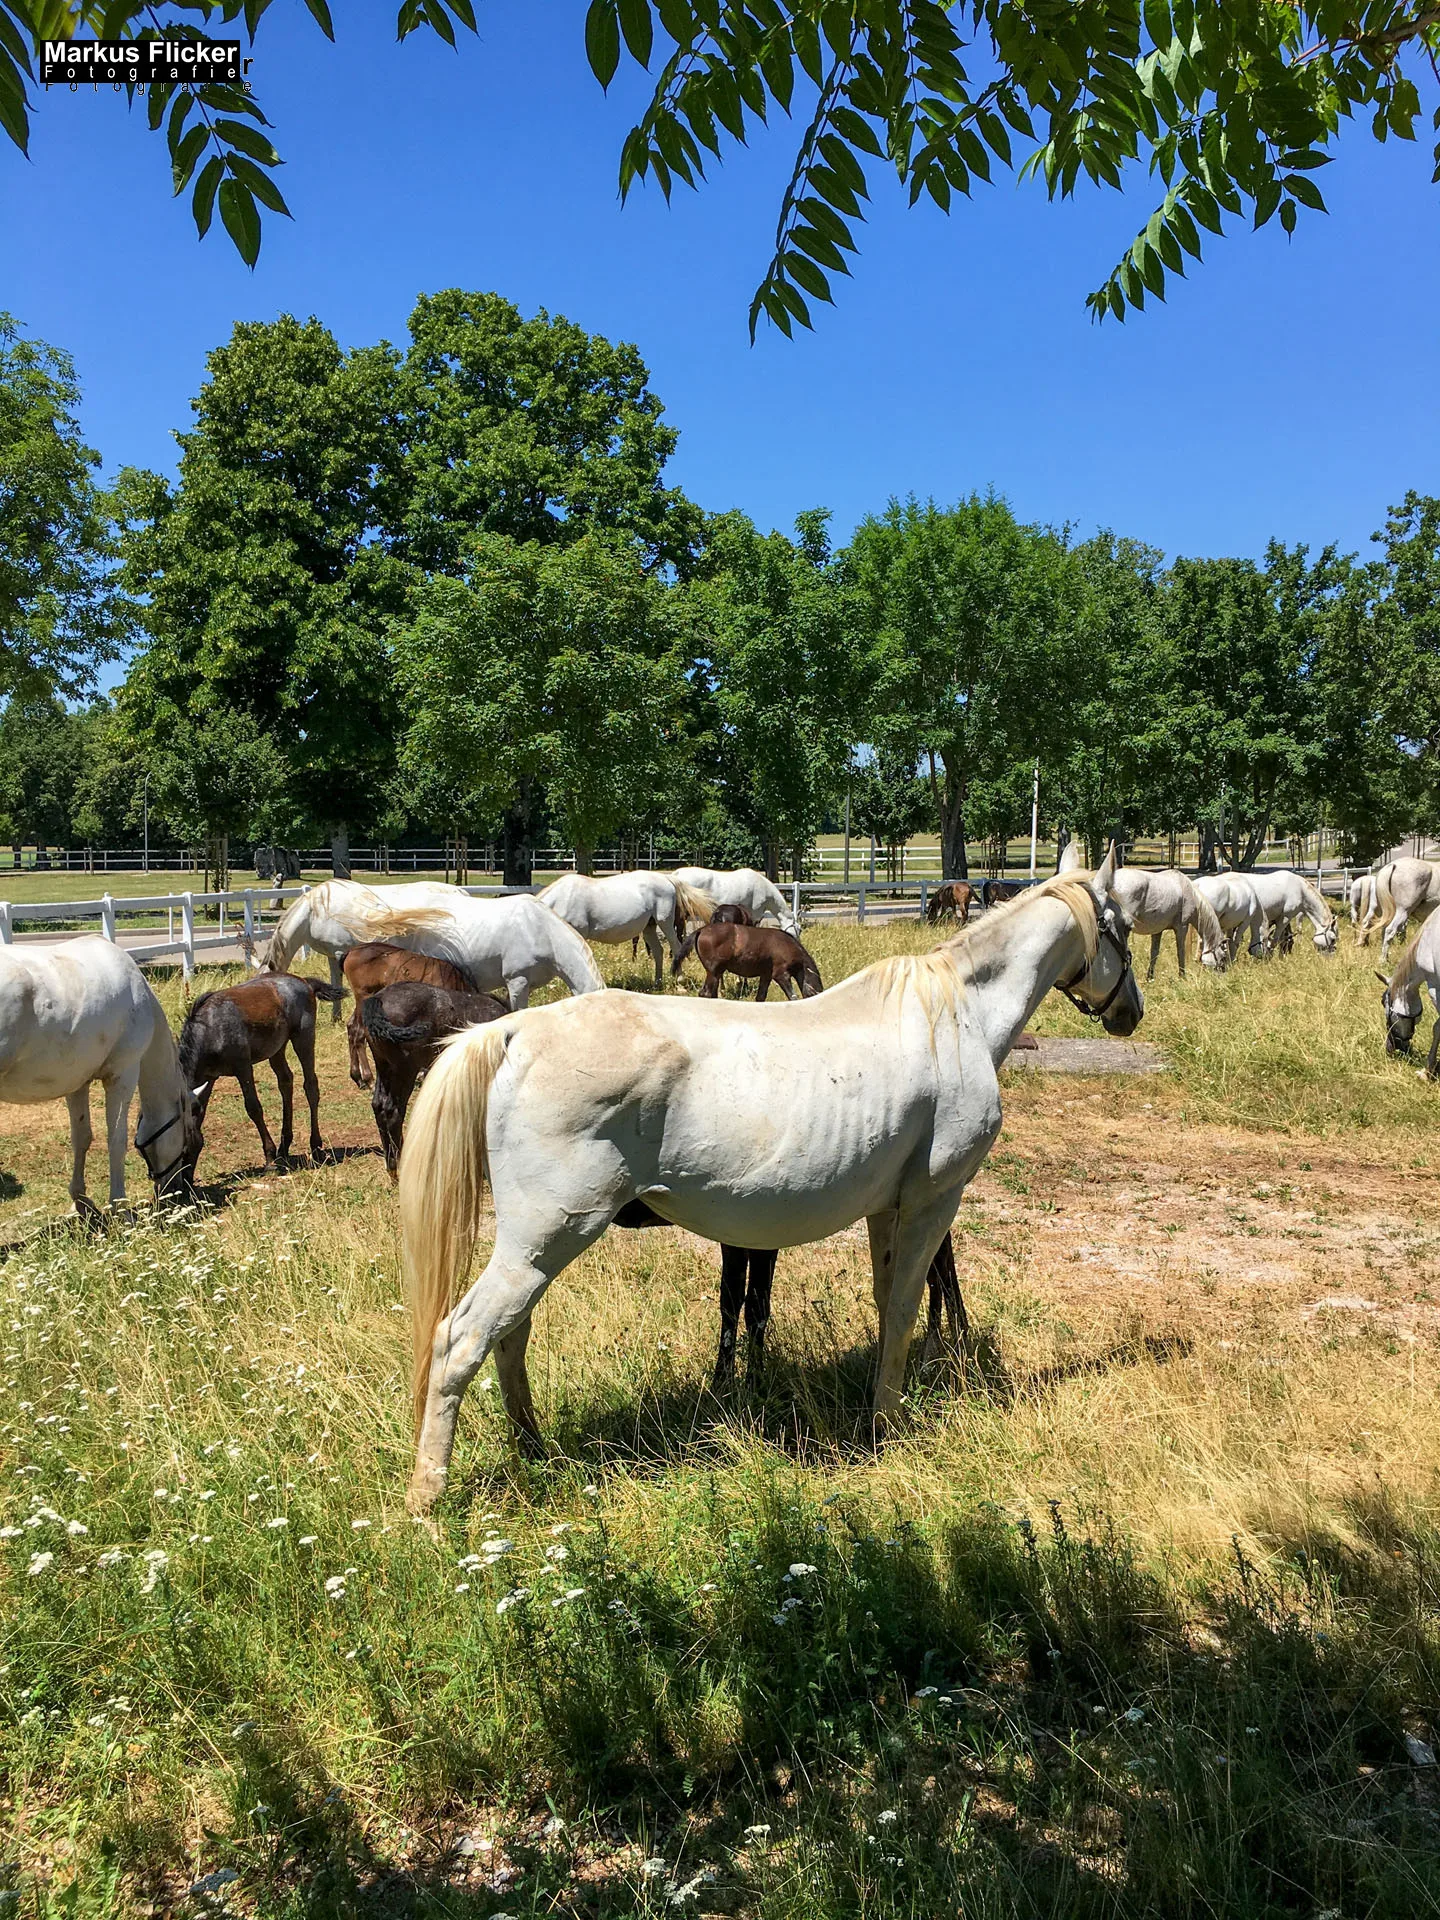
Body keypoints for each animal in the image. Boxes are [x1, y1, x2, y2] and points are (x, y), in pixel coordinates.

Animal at [0, 939, 201, 1214]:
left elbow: (81, 1138)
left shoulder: (78, 1083)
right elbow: (116, 1142)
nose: (176, 1191)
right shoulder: (122, 1076)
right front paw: (121, 1209)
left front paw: (81, 1201)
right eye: (188, 1140)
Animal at [178, 974, 345, 1170]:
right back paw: (284, 1146)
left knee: (310, 1086)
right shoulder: (209, 1078)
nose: (181, 1177)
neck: (211, 1028)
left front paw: (270, 1158)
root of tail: (304, 981)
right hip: (277, 1049)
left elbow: (253, 1108)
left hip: (303, 1039)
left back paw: (316, 1146)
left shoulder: (243, 1069)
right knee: (286, 1082)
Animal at [340, 941, 479, 1089]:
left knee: (352, 1027)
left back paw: (357, 1077)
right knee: (359, 1033)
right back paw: (368, 1078)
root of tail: (352, 951)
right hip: (364, 998)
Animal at [538, 872, 714, 990]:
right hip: (649, 927)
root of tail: (666, 878)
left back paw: (680, 983)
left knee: (676, 947)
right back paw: (657, 983)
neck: (563, 898)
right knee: (658, 951)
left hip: (665, 922)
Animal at [675, 922, 824, 1000]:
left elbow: (760, 997)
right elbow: (792, 996)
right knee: (706, 993)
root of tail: (701, 930)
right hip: (714, 972)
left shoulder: (766, 976)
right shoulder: (781, 975)